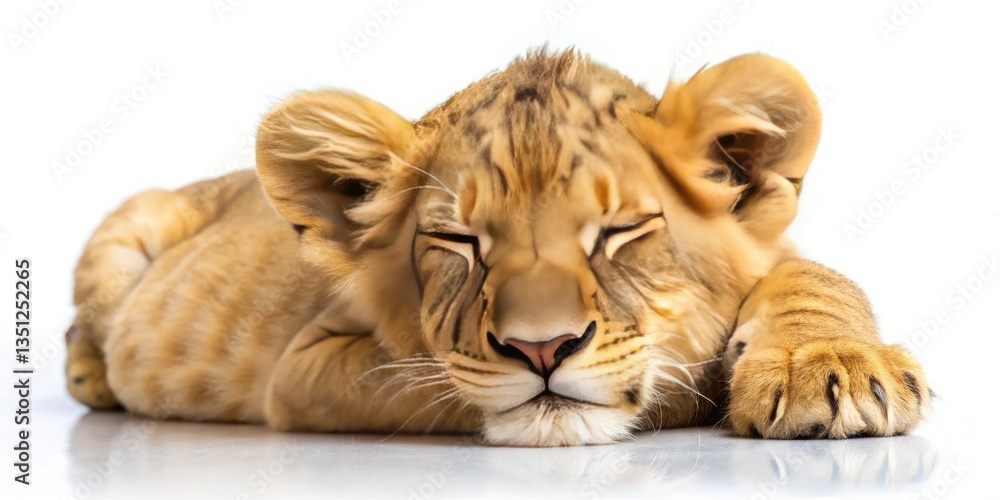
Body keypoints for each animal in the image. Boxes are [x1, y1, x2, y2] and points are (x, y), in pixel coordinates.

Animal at [65, 49, 929, 446]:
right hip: (127, 227)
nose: (542, 349)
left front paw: (829, 366)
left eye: (620, 232)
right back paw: (87, 372)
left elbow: (813, 275)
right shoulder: (301, 370)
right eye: (458, 242)